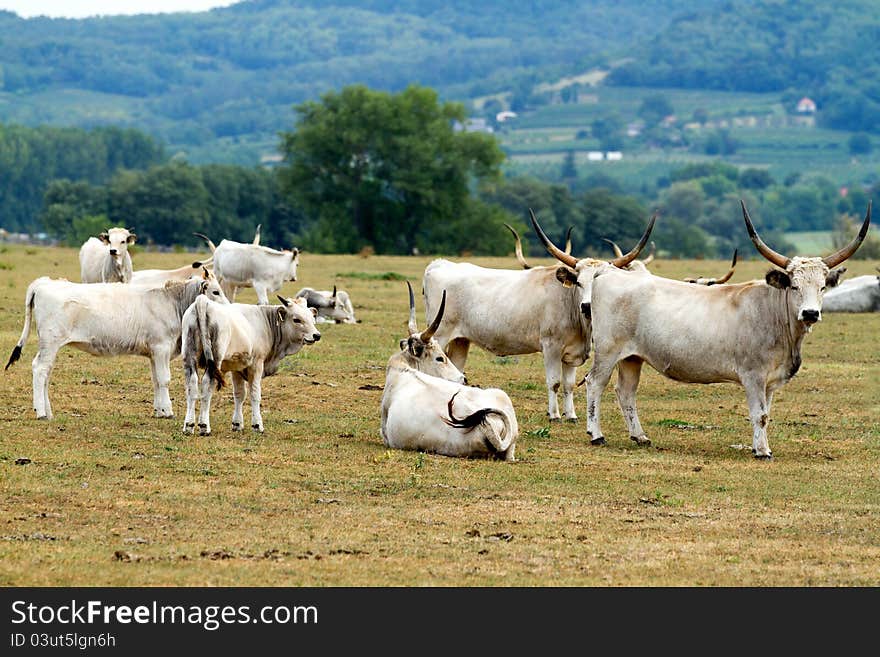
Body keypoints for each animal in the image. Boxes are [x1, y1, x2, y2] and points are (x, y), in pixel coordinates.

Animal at [5, 266, 229, 416]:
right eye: (215, 291)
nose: (229, 308)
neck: (170, 301)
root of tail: (44, 282)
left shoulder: (153, 353)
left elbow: (156, 380)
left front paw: (159, 410)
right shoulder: (161, 347)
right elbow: (164, 379)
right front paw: (167, 410)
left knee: (46, 372)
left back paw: (48, 411)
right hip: (50, 342)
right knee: (40, 369)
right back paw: (41, 412)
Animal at [183, 294, 324, 434]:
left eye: (312, 318)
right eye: (296, 320)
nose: (316, 335)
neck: (265, 322)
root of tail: (204, 301)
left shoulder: (237, 367)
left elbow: (239, 394)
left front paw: (237, 423)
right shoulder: (256, 365)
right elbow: (255, 394)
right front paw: (257, 424)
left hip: (190, 356)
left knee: (192, 386)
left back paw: (189, 425)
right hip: (215, 360)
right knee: (207, 386)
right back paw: (204, 425)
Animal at [422, 209, 656, 420]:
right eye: (579, 282)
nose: (587, 306)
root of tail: (439, 264)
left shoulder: (572, 352)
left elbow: (569, 384)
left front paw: (571, 415)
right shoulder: (551, 346)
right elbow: (554, 382)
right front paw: (554, 415)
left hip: (461, 340)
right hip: (440, 334)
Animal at [580, 201, 868, 462]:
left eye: (822, 286)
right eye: (794, 286)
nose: (810, 313)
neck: (774, 316)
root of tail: (607, 274)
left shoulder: (769, 381)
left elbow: (766, 414)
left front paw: (760, 446)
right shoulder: (753, 375)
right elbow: (759, 415)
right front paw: (762, 452)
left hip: (632, 357)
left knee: (626, 391)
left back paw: (640, 436)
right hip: (608, 351)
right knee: (595, 383)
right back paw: (596, 435)